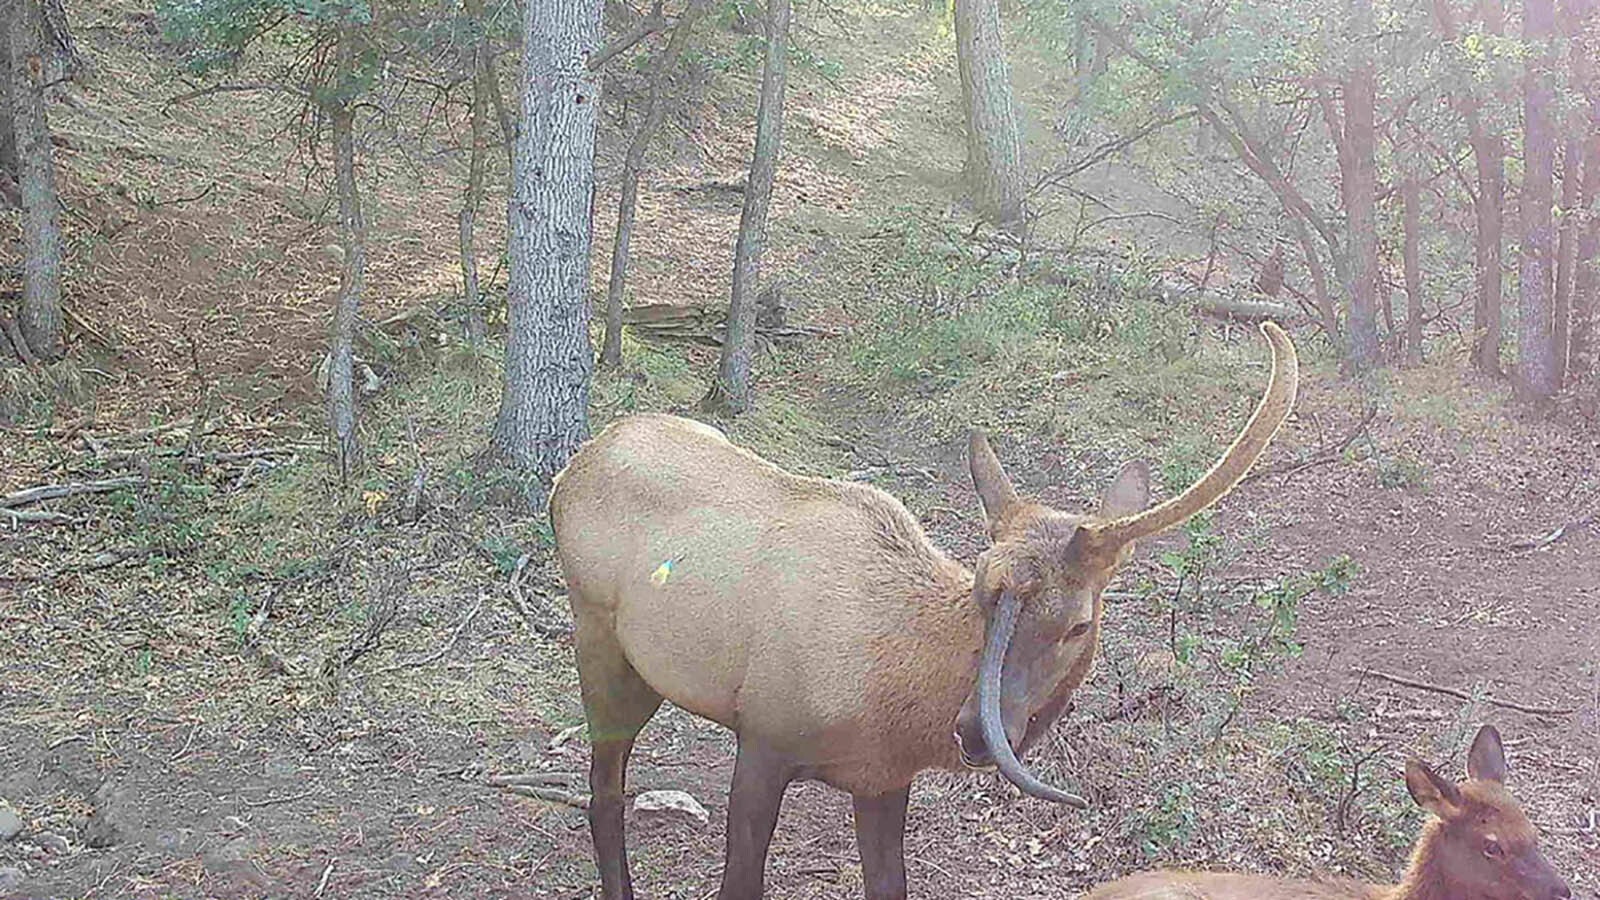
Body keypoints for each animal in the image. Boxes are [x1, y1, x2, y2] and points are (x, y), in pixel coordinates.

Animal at [549, 322, 1298, 900]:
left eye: (1078, 623)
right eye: (981, 590)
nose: (975, 730)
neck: (894, 710)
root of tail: (573, 465)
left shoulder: (883, 782)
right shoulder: (762, 740)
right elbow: (740, 884)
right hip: (600, 640)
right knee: (603, 794)